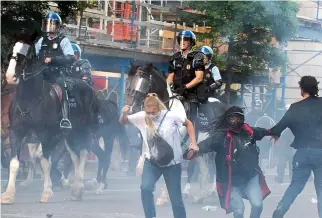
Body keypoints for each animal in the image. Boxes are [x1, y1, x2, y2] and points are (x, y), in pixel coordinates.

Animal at [1, 27, 99, 204]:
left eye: (27, 52)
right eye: (12, 49)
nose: (10, 77)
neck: (30, 98)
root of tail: (88, 88)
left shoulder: (46, 135)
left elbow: (45, 162)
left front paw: (47, 192)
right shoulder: (16, 133)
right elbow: (14, 163)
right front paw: (8, 194)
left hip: (83, 131)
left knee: (82, 153)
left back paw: (79, 187)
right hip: (69, 136)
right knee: (74, 156)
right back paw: (75, 189)